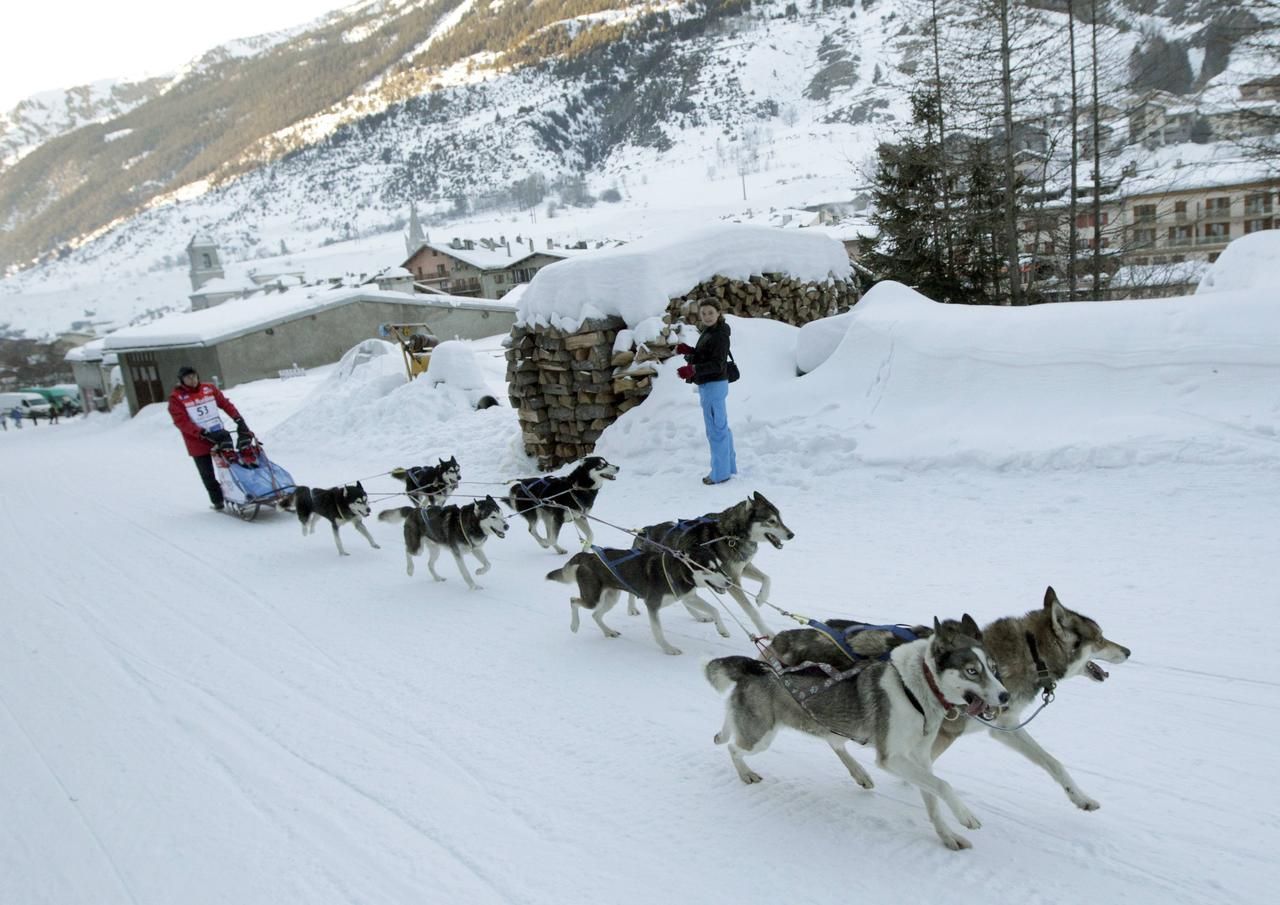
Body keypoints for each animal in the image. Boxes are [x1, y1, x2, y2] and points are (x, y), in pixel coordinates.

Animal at [376, 499, 506, 591]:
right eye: (493, 516)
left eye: (502, 514)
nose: (507, 526)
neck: (468, 524)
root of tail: (414, 510)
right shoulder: (458, 554)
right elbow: (466, 573)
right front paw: (474, 587)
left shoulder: (476, 549)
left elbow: (488, 564)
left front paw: (479, 571)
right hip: (418, 549)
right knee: (407, 550)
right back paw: (410, 570)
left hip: (435, 550)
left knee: (429, 564)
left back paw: (437, 578)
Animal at [547, 547, 732, 655]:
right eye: (709, 568)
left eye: (720, 566)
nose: (729, 581)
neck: (677, 571)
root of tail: (587, 555)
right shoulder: (653, 605)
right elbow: (658, 631)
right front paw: (668, 648)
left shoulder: (688, 597)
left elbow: (715, 609)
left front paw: (722, 630)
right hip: (593, 598)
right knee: (573, 600)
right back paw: (574, 625)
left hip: (611, 598)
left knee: (595, 615)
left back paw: (608, 631)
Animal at [627, 496, 793, 637]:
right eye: (771, 521)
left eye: (780, 519)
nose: (792, 535)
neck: (730, 534)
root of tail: (644, 531)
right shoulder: (732, 579)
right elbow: (751, 611)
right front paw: (766, 631)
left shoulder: (743, 567)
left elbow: (767, 578)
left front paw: (761, 597)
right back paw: (631, 608)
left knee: (685, 599)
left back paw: (700, 616)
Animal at [711, 616, 1008, 849]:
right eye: (972, 671)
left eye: (994, 669)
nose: (1005, 696)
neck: (916, 689)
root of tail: (756, 667)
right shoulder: (891, 758)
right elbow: (943, 785)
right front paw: (965, 815)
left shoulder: (921, 758)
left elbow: (933, 798)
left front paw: (947, 836)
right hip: (759, 737)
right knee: (734, 747)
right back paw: (746, 773)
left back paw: (859, 773)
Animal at [757, 588, 1131, 814]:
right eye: (1100, 638)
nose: (1128, 651)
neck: (1029, 651)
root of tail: (780, 638)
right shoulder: (942, 733)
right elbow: (924, 773)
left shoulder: (1005, 726)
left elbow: (1053, 763)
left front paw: (1080, 798)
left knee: (835, 742)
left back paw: (860, 775)